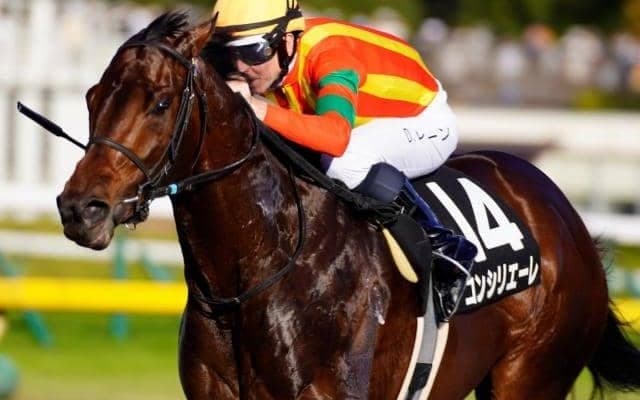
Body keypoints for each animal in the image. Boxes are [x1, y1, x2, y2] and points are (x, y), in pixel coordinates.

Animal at [55, 12, 640, 399]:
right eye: (91, 97)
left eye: (159, 102)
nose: (82, 208)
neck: (253, 274)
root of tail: (566, 216)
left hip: (530, 374)